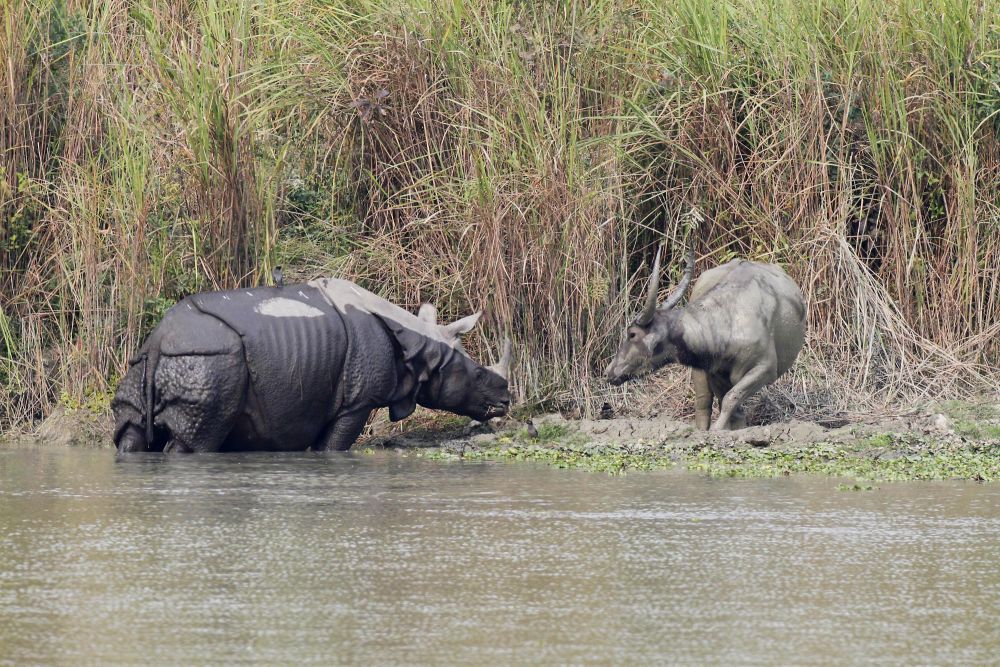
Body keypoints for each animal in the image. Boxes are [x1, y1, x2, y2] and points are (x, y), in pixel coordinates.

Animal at [113, 276, 512, 454]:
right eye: (479, 373)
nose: (506, 402)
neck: (420, 343)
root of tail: (161, 339)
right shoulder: (357, 401)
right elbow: (334, 445)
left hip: (154, 360)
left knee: (131, 433)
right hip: (211, 362)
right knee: (199, 441)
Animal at [600, 248, 804, 430]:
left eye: (632, 334)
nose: (608, 371)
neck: (727, 321)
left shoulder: (766, 369)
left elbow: (731, 399)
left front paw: (719, 429)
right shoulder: (713, 372)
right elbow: (727, 402)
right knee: (703, 403)